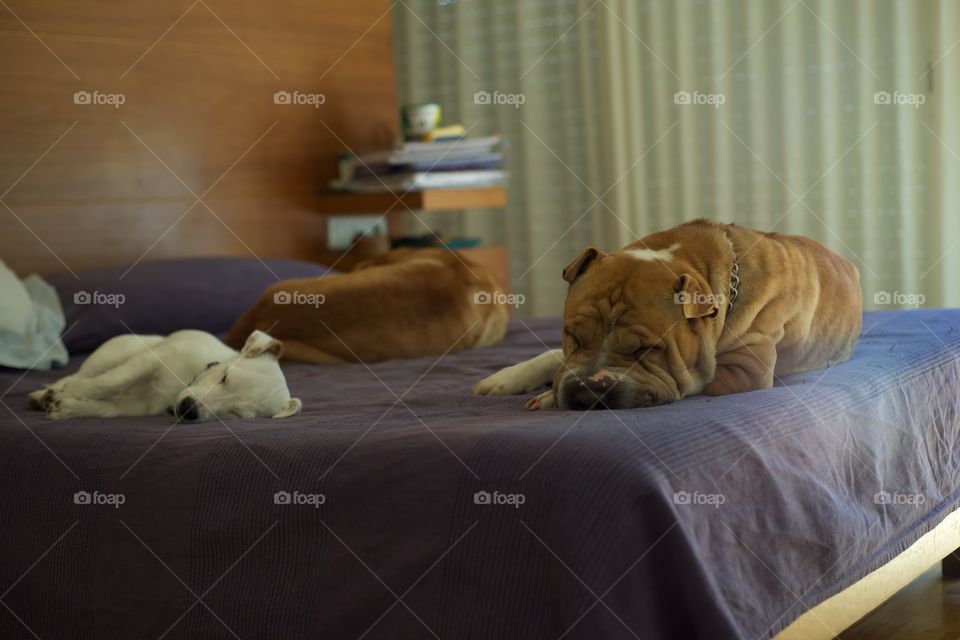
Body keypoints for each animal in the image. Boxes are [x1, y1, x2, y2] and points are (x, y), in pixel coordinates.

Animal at [27, 328, 304, 422]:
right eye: (224, 376)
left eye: (236, 413)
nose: (188, 409)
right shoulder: (149, 361)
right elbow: (114, 381)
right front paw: (74, 394)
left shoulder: (136, 407)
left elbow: (105, 409)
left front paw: (69, 407)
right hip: (115, 353)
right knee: (76, 376)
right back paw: (47, 392)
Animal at [472, 220, 864, 410]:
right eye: (574, 336)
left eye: (646, 350)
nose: (587, 393)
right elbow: (553, 357)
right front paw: (506, 379)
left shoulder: (746, 371)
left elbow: (695, 379)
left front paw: (548, 397)